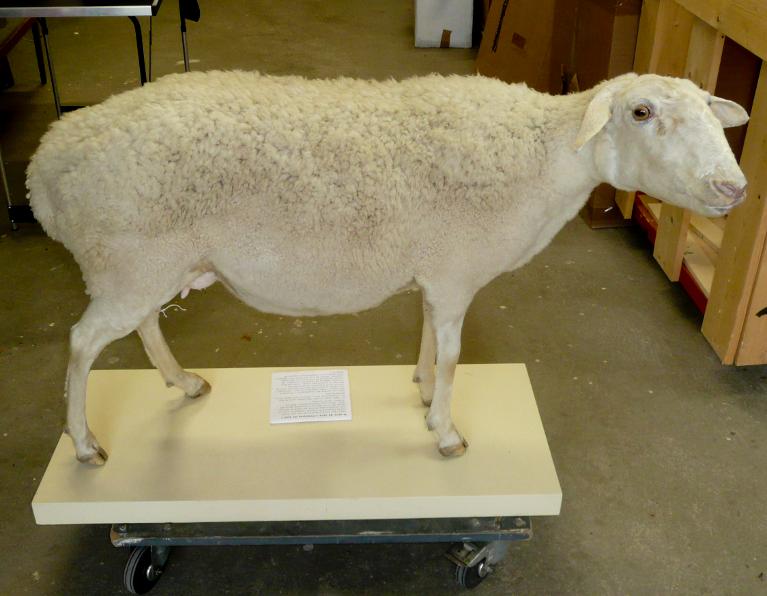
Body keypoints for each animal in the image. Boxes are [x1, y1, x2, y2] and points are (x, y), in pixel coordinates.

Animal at [26, 70, 749, 465]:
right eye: (640, 112)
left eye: (708, 112)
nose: (733, 188)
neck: (546, 155)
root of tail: (46, 165)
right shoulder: (456, 269)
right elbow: (455, 355)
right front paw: (445, 433)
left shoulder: (437, 268)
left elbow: (430, 336)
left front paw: (422, 389)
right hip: (127, 258)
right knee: (83, 345)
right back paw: (84, 445)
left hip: (142, 264)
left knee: (144, 325)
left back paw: (183, 383)